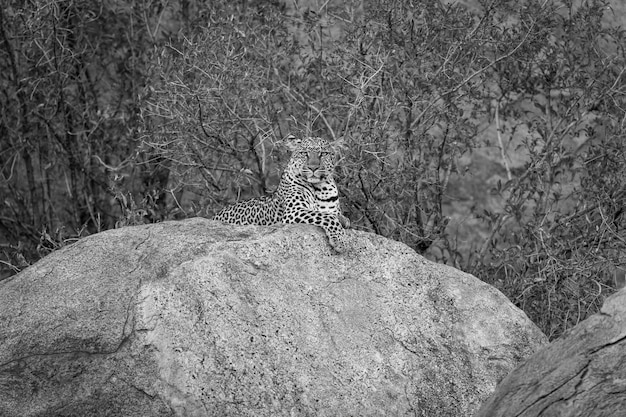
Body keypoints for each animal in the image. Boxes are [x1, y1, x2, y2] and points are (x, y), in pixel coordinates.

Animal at [213, 136, 352, 252]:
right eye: (304, 153)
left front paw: (343, 222)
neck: (319, 188)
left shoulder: (330, 209)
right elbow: (328, 217)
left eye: (323, 154)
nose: (313, 168)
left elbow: (335, 216)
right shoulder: (293, 212)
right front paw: (341, 241)